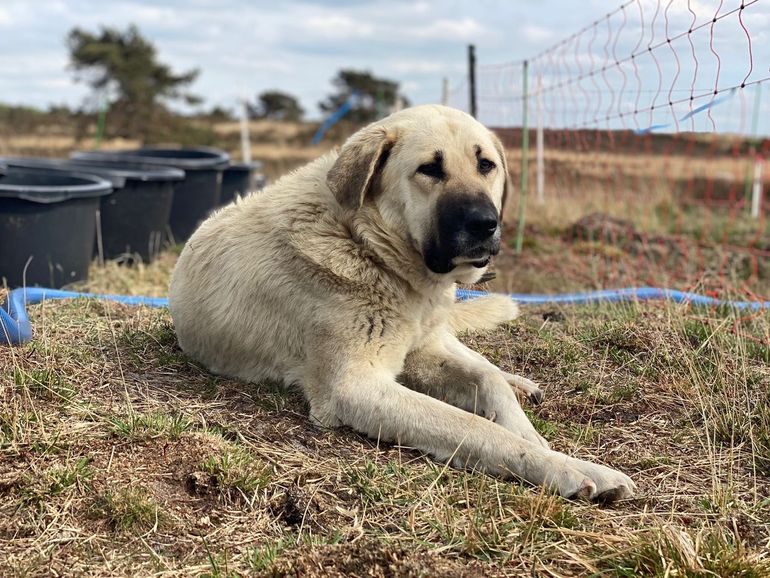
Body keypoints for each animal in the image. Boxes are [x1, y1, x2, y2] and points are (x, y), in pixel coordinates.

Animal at [171, 106, 632, 502]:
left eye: (486, 165)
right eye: (430, 169)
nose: (486, 224)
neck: (365, 244)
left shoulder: (420, 351)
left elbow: (488, 386)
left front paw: (535, 438)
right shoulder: (356, 386)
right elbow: (475, 427)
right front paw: (565, 467)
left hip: (436, 338)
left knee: (486, 367)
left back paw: (519, 382)